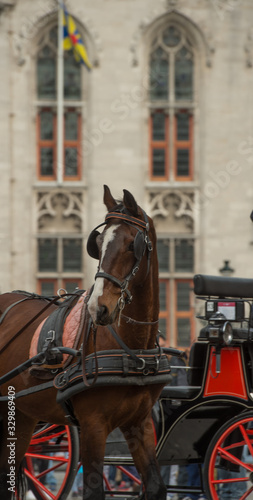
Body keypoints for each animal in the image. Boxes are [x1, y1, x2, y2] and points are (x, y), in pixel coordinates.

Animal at [0, 186, 168, 498]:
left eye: (133, 244)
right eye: (98, 243)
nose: (98, 308)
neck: (132, 349)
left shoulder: (139, 424)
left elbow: (154, 485)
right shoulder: (93, 425)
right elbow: (93, 490)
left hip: (22, 416)